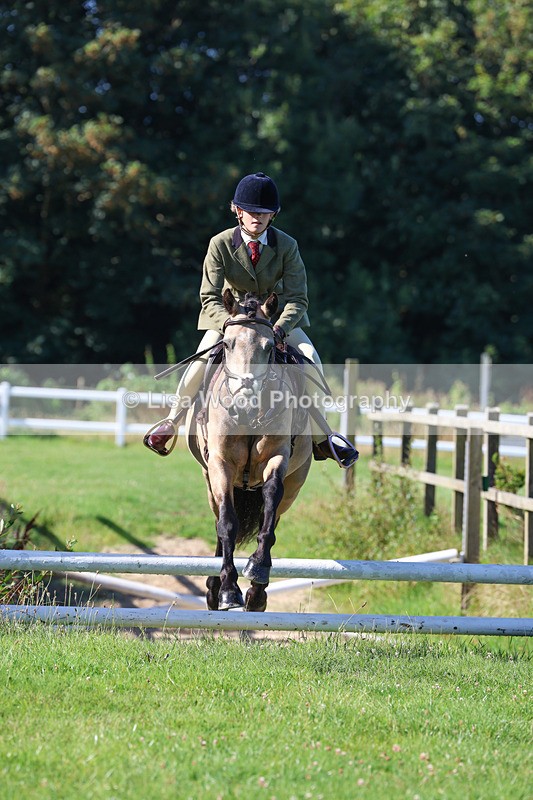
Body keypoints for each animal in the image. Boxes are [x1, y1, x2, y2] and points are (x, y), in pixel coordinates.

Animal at [190, 289, 312, 613]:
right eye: (227, 344)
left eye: (269, 347)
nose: (244, 400)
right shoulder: (220, 465)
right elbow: (227, 524)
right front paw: (228, 590)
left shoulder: (278, 458)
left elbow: (269, 502)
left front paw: (257, 570)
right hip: (210, 483)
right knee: (219, 522)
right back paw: (213, 588)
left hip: (295, 485)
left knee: (274, 515)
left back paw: (257, 592)